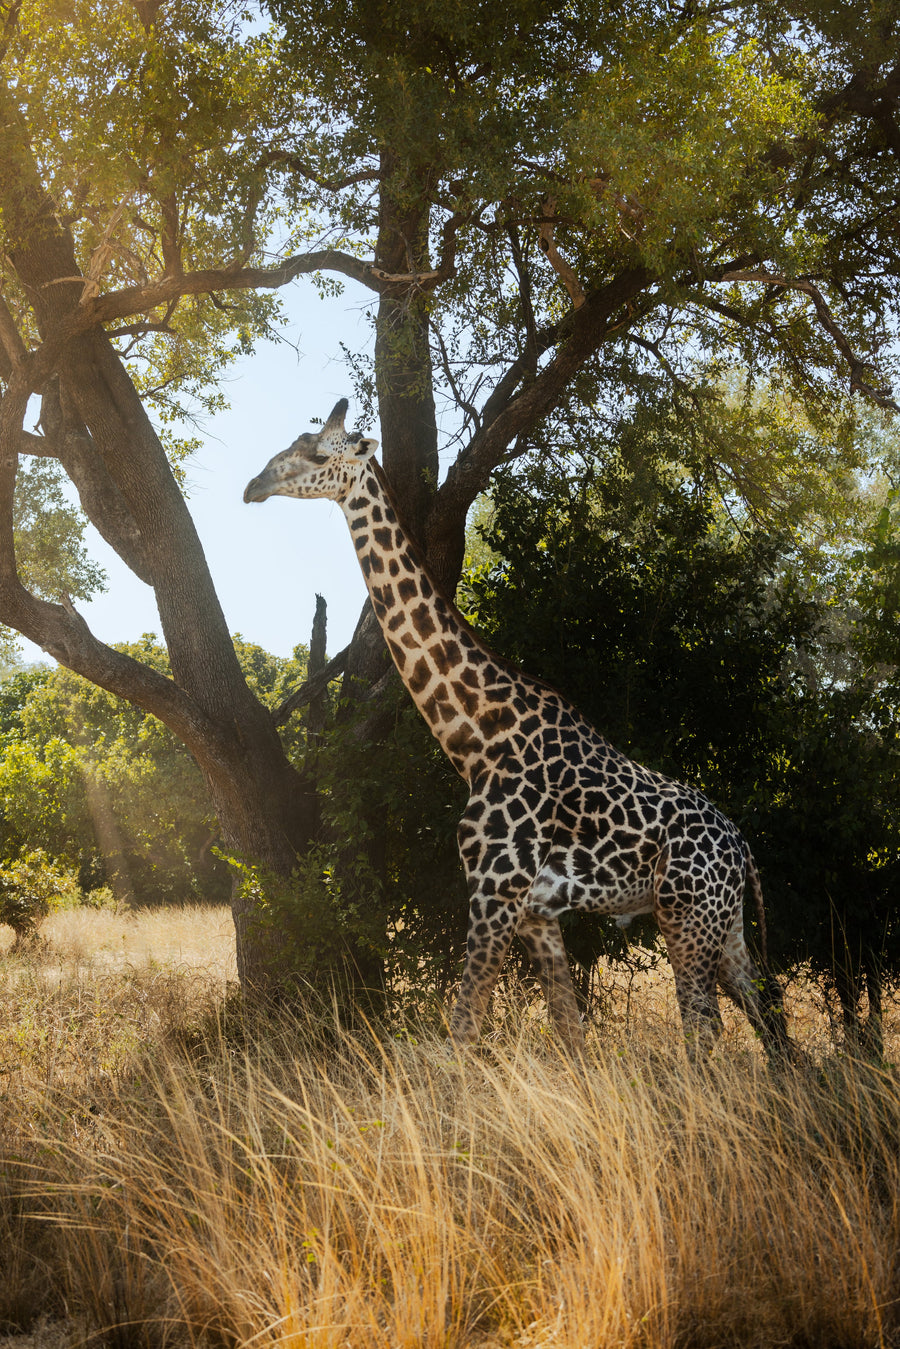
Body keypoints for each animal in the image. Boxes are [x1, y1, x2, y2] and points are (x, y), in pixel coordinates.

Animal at [244, 398, 791, 1060]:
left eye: (320, 453)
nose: (253, 485)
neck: (477, 740)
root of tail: (743, 850)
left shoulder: (494, 893)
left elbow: (461, 1033)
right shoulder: (536, 912)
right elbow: (569, 1032)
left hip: (684, 915)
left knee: (706, 1030)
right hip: (723, 925)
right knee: (770, 1021)